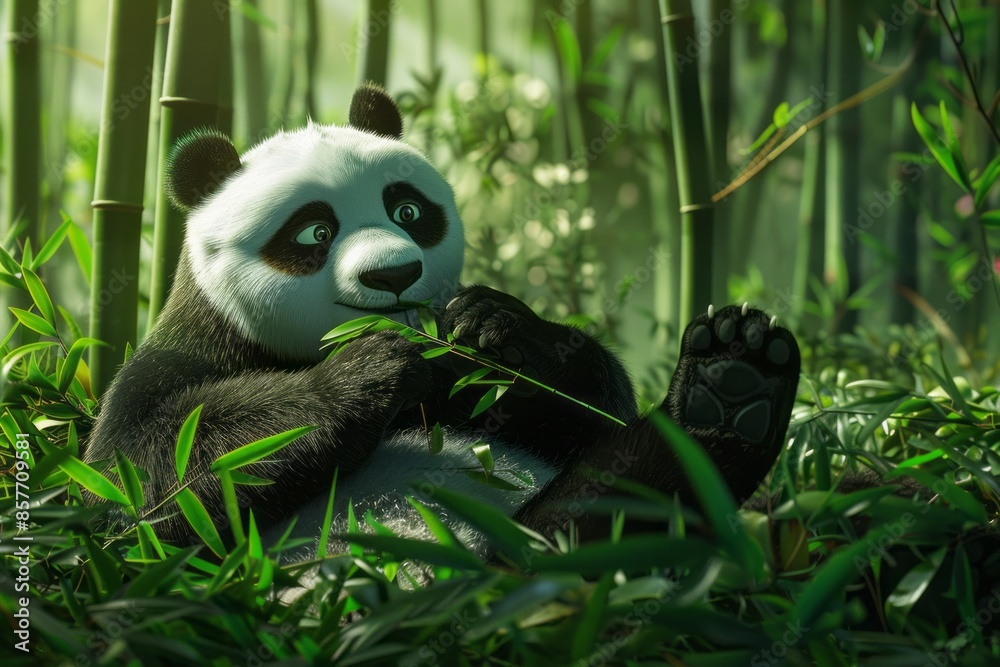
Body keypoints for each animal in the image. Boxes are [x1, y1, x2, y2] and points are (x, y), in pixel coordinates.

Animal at [83, 84, 801, 559]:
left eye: (407, 210)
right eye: (314, 231)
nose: (394, 274)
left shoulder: (481, 389)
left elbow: (591, 409)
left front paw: (495, 325)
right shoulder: (180, 358)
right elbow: (150, 483)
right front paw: (370, 371)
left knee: (629, 500)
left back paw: (731, 384)